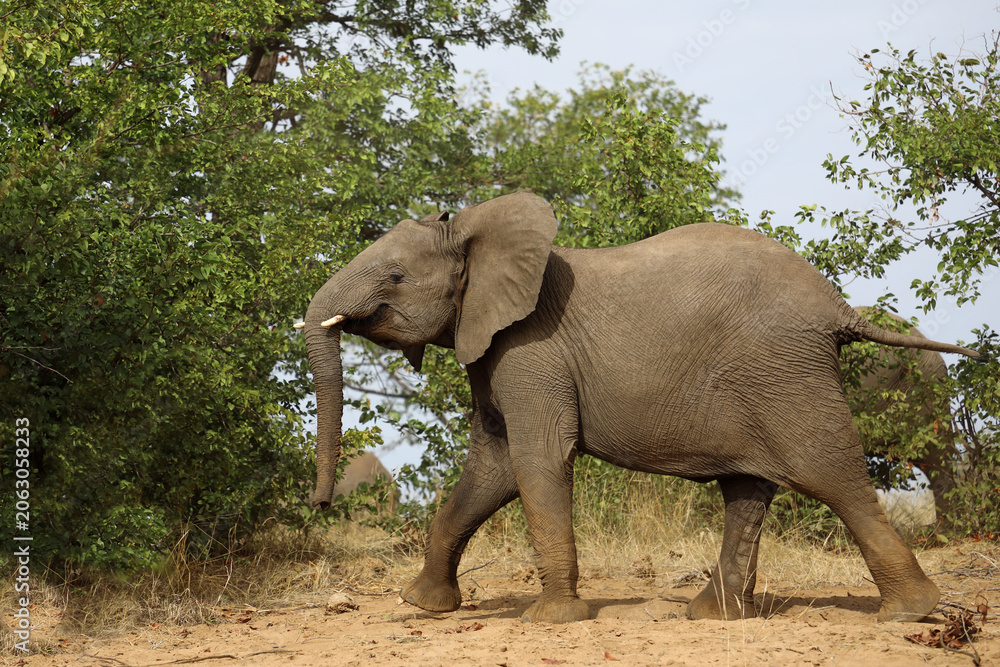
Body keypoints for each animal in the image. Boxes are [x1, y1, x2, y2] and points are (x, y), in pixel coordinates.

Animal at [296, 191, 979, 624]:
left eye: (395, 278)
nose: (321, 505)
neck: (477, 229)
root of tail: (837, 306)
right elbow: (492, 468)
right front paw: (421, 605)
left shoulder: (531, 349)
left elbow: (536, 459)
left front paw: (552, 619)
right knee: (747, 490)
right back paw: (711, 616)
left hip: (787, 373)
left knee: (830, 473)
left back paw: (909, 614)